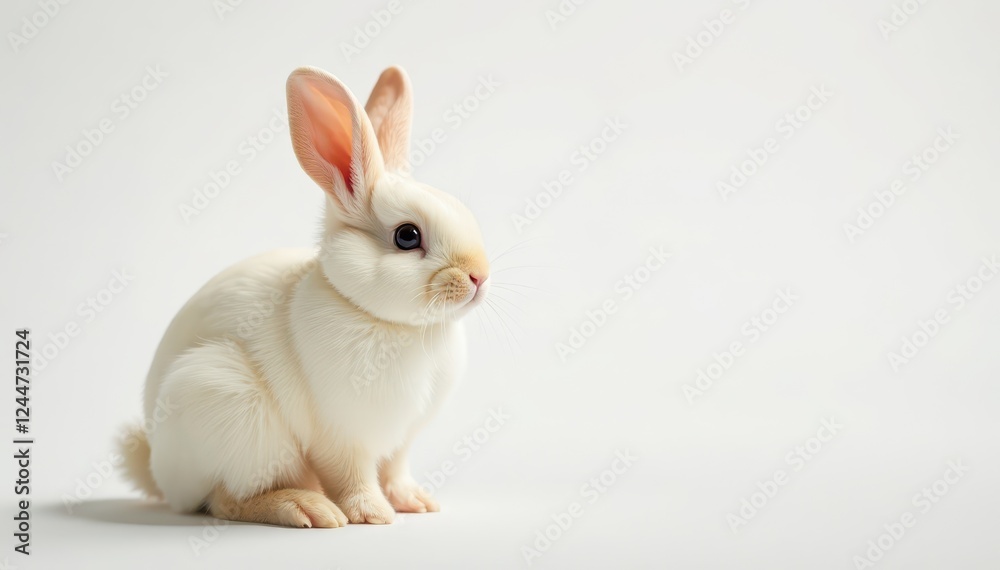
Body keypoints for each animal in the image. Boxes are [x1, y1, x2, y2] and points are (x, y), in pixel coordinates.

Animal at [119, 65, 490, 527]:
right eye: (407, 236)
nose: (480, 276)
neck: (384, 320)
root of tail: (160, 475)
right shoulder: (342, 435)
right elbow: (352, 476)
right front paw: (373, 514)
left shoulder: (402, 439)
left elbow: (395, 470)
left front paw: (416, 502)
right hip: (228, 407)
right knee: (225, 499)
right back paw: (307, 507)